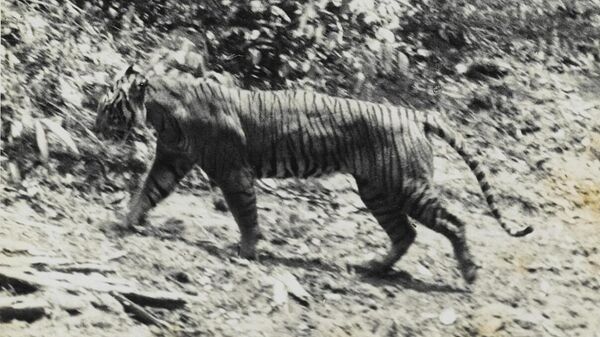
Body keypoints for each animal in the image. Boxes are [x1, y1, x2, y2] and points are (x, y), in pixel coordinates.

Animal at [96, 65, 532, 284]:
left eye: (107, 106)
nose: (96, 125)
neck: (161, 112)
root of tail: (413, 113)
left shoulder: (232, 172)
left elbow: (244, 213)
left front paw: (247, 251)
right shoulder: (171, 160)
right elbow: (147, 192)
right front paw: (125, 221)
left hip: (407, 186)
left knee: (454, 221)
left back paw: (470, 272)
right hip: (377, 191)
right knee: (404, 233)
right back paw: (374, 267)